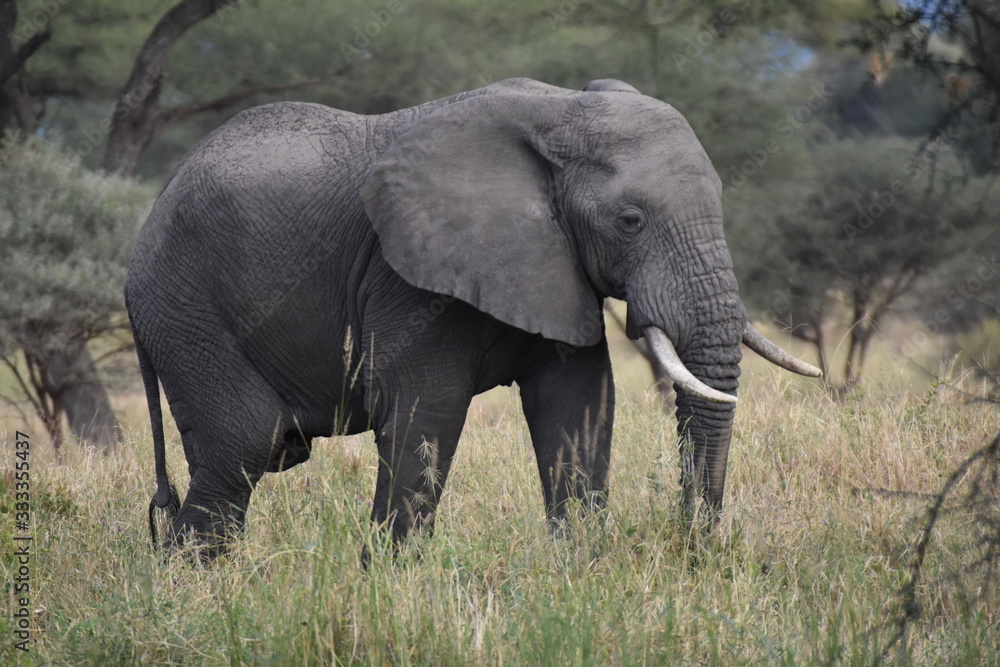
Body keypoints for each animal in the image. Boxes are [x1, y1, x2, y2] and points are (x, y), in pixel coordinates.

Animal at [125, 77, 816, 560]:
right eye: (630, 221)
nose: (692, 549)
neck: (561, 112)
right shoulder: (408, 278)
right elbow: (424, 412)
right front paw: (391, 588)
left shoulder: (554, 267)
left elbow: (580, 404)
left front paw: (583, 576)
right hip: (185, 307)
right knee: (244, 442)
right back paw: (192, 594)